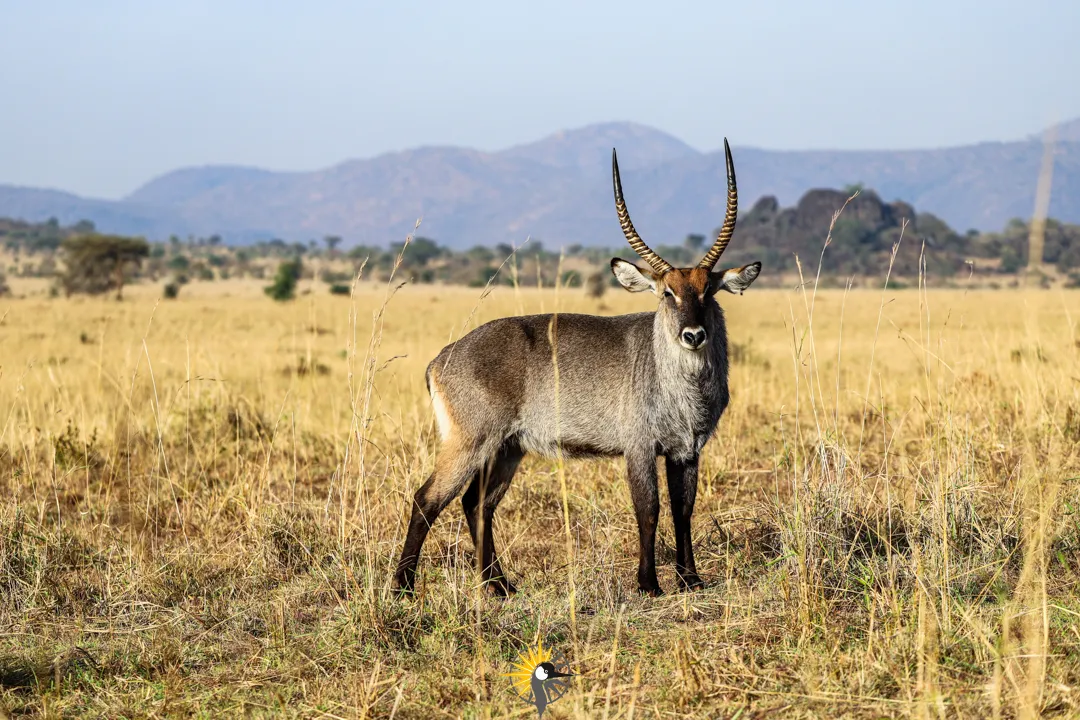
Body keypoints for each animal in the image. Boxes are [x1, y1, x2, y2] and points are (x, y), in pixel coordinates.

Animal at [390, 139, 760, 595]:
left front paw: (690, 580)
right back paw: (404, 587)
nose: (693, 335)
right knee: (427, 499)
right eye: (667, 293)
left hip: (508, 447)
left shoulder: (687, 450)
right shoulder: (639, 446)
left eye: (708, 290)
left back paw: (500, 586)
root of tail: (440, 358)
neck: (681, 386)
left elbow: (683, 510)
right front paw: (649, 584)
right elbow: (649, 509)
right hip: (470, 441)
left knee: (476, 503)